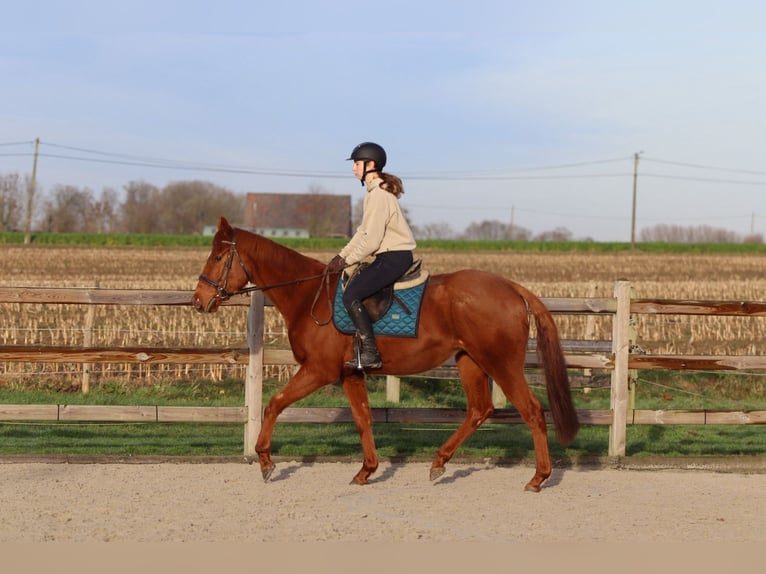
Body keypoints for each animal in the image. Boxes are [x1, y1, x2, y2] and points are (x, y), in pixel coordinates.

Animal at [192, 216, 580, 492]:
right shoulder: (351, 373)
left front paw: (265, 462)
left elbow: (274, 404)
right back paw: (439, 463)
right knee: (479, 410)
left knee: (531, 411)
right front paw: (366, 471)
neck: (308, 297)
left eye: (217, 257)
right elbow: (363, 418)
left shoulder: (318, 370)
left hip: (502, 364)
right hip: (469, 361)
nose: (199, 300)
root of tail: (511, 287)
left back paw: (538, 478)